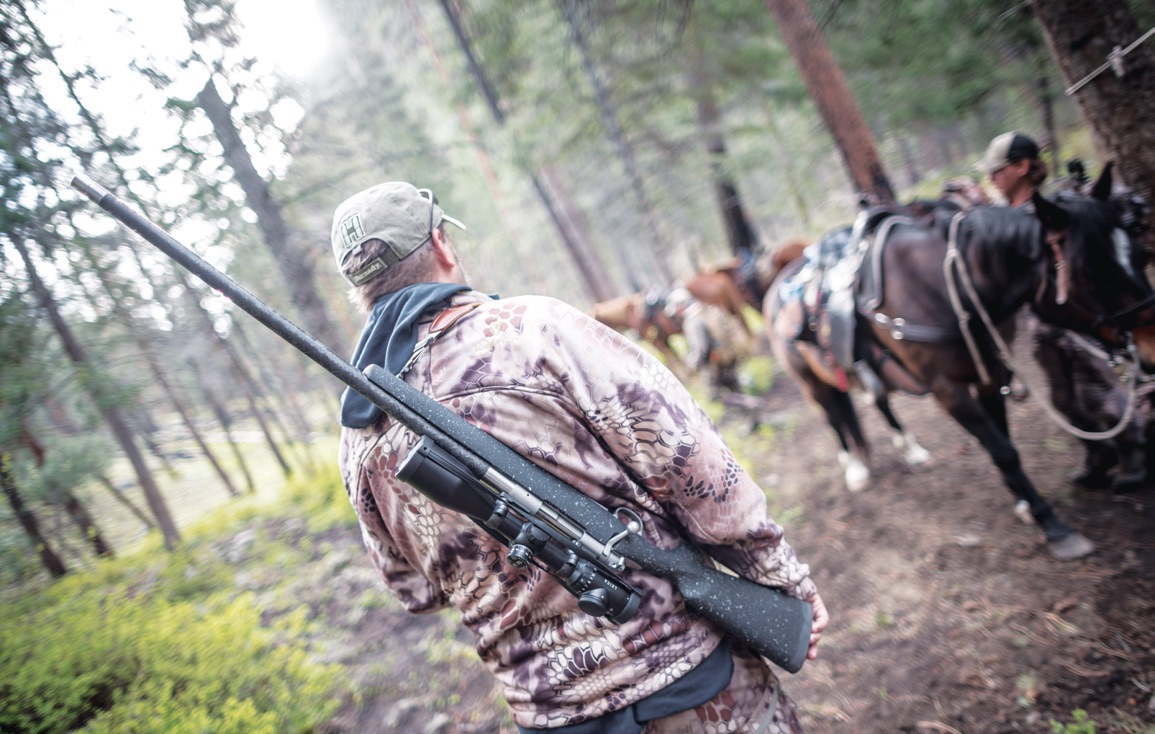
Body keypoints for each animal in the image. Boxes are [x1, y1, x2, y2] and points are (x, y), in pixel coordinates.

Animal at [766, 165, 1155, 557]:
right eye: (1089, 272)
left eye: (1140, 253)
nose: (1149, 346)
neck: (945, 285)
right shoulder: (948, 391)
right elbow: (1002, 450)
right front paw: (1052, 524)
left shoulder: (990, 375)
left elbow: (1004, 439)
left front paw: (1023, 502)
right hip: (810, 380)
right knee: (833, 416)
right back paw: (854, 468)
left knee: (878, 402)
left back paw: (911, 451)